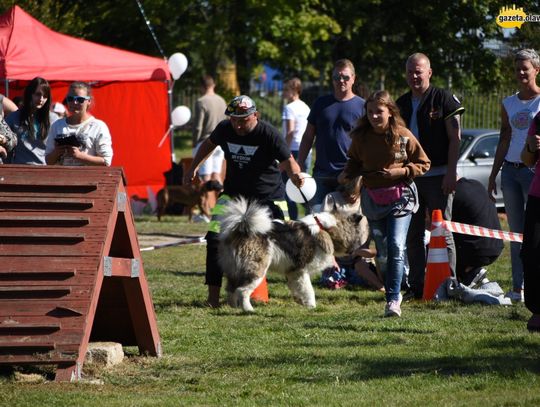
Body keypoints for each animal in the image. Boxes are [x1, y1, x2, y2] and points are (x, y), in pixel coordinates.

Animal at [217, 198, 364, 312]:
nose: (355, 251)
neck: (325, 228)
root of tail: (242, 228)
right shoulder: (301, 270)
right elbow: (309, 289)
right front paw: (312, 306)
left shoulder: (293, 272)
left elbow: (297, 288)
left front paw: (301, 301)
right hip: (256, 270)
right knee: (242, 290)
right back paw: (248, 309)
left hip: (234, 270)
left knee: (230, 288)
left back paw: (234, 307)